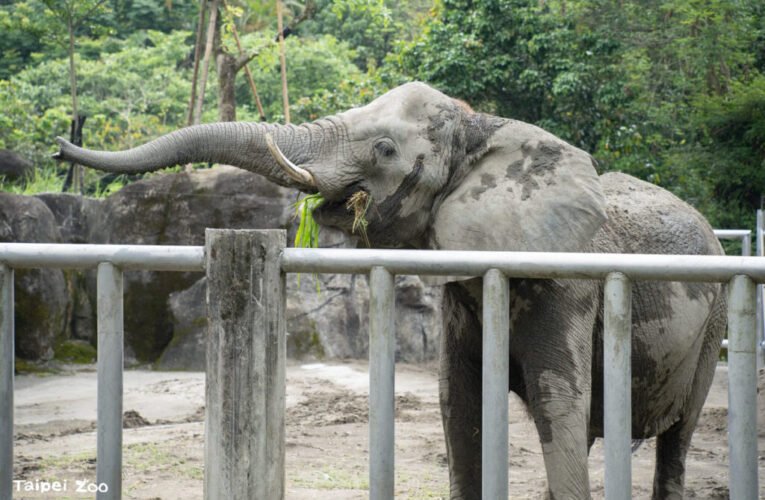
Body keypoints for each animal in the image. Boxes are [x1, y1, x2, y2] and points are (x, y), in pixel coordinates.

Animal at [54, 82, 726, 499]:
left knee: (675, 436)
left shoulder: (567, 284)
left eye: (384, 148)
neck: (482, 126)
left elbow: (556, 399)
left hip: (713, 319)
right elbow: (459, 401)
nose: (61, 144)